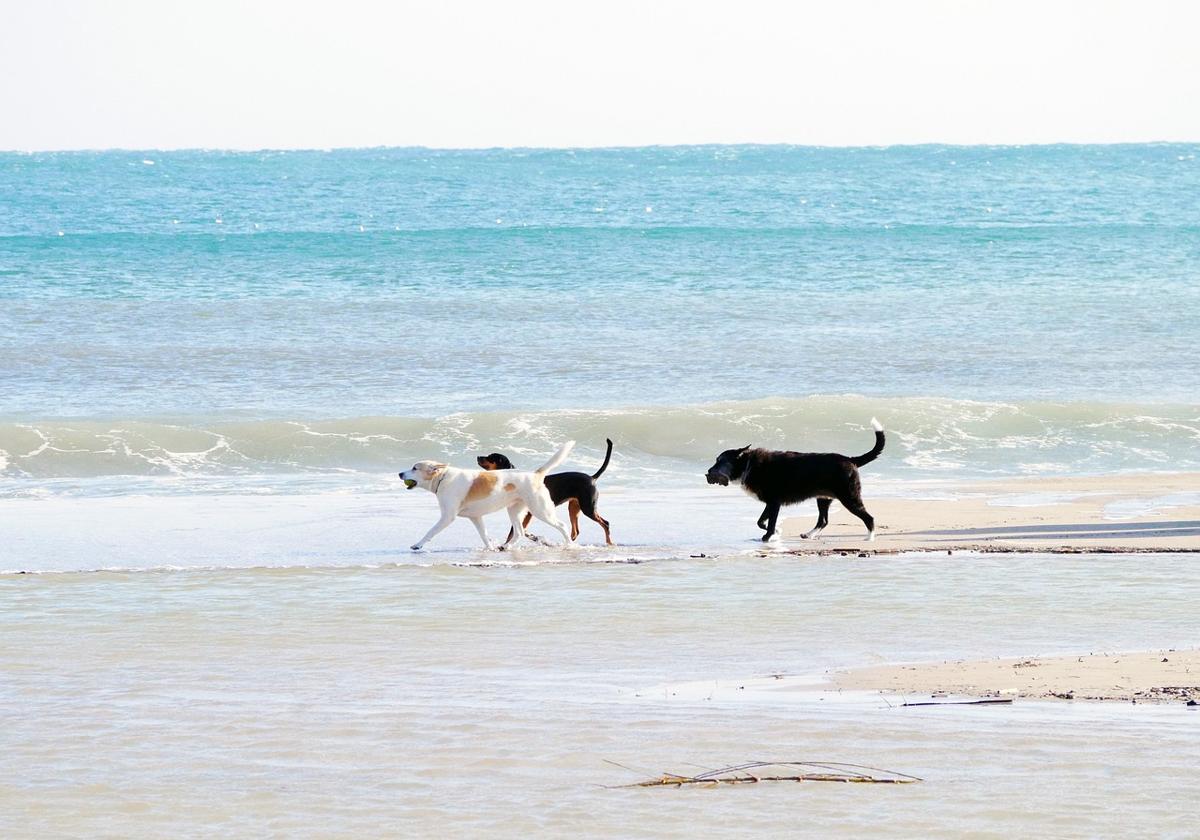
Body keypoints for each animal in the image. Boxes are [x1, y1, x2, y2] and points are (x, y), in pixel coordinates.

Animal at [398, 439, 576, 552]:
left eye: (415, 468)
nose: (400, 473)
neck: (443, 478)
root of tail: (535, 475)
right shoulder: (476, 517)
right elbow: (484, 535)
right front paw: (490, 549)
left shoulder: (447, 517)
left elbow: (431, 531)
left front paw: (418, 545)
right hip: (514, 510)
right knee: (519, 532)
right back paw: (506, 547)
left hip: (541, 510)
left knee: (562, 526)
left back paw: (569, 545)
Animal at [475, 439, 614, 544]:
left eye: (491, 457)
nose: (477, 456)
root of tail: (592, 477)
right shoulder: (527, 514)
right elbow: (521, 531)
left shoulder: (528, 513)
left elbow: (512, 533)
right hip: (574, 507)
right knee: (575, 531)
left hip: (587, 507)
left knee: (605, 523)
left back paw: (609, 542)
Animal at [700, 420, 883, 544]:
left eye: (720, 461)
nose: (708, 472)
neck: (748, 464)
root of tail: (850, 460)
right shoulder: (770, 503)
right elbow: (760, 521)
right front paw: (776, 531)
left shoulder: (774, 503)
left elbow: (769, 522)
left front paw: (768, 537)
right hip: (823, 498)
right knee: (823, 521)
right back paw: (809, 534)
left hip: (849, 496)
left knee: (869, 518)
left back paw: (869, 538)